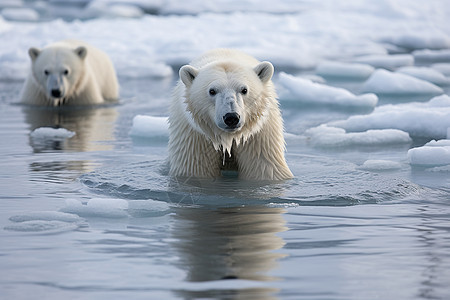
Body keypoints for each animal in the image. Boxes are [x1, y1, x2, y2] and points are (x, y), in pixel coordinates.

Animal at [168, 49, 292, 180]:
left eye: (244, 90)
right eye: (212, 91)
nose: (231, 117)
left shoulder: (258, 137)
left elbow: (265, 169)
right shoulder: (196, 137)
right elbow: (195, 170)